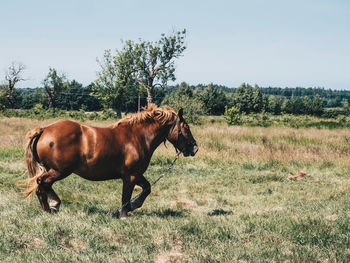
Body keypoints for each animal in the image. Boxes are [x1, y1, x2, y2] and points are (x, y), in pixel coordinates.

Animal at [23, 104, 200, 219]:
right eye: (186, 127)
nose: (195, 148)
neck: (138, 137)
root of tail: (44, 130)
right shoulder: (130, 176)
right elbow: (125, 197)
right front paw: (125, 214)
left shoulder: (136, 174)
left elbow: (147, 188)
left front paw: (134, 205)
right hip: (60, 170)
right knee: (41, 183)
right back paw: (48, 209)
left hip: (54, 170)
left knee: (45, 184)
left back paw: (55, 204)